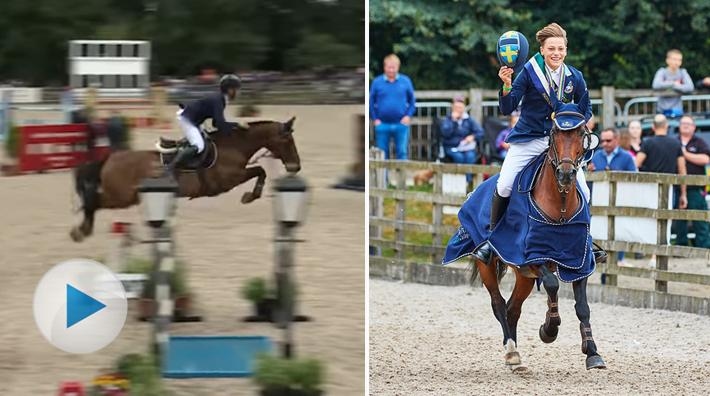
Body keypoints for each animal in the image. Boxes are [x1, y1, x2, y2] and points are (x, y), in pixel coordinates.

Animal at [73, 117, 302, 241]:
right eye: (287, 140)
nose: (296, 166)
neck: (234, 145)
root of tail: (109, 159)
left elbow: (260, 170)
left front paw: (252, 195)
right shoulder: (229, 180)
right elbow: (259, 171)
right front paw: (250, 196)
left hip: (124, 197)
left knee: (93, 202)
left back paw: (82, 230)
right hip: (122, 197)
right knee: (93, 202)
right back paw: (80, 231)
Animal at [472, 109, 608, 372]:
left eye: (581, 134)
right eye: (554, 134)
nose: (565, 174)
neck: (561, 206)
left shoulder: (580, 261)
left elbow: (583, 307)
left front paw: (593, 353)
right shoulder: (536, 256)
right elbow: (553, 284)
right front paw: (549, 329)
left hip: (524, 276)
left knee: (513, 308)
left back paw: (516, 357)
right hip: (489, 267)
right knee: (499, 304)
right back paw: (512, 353)